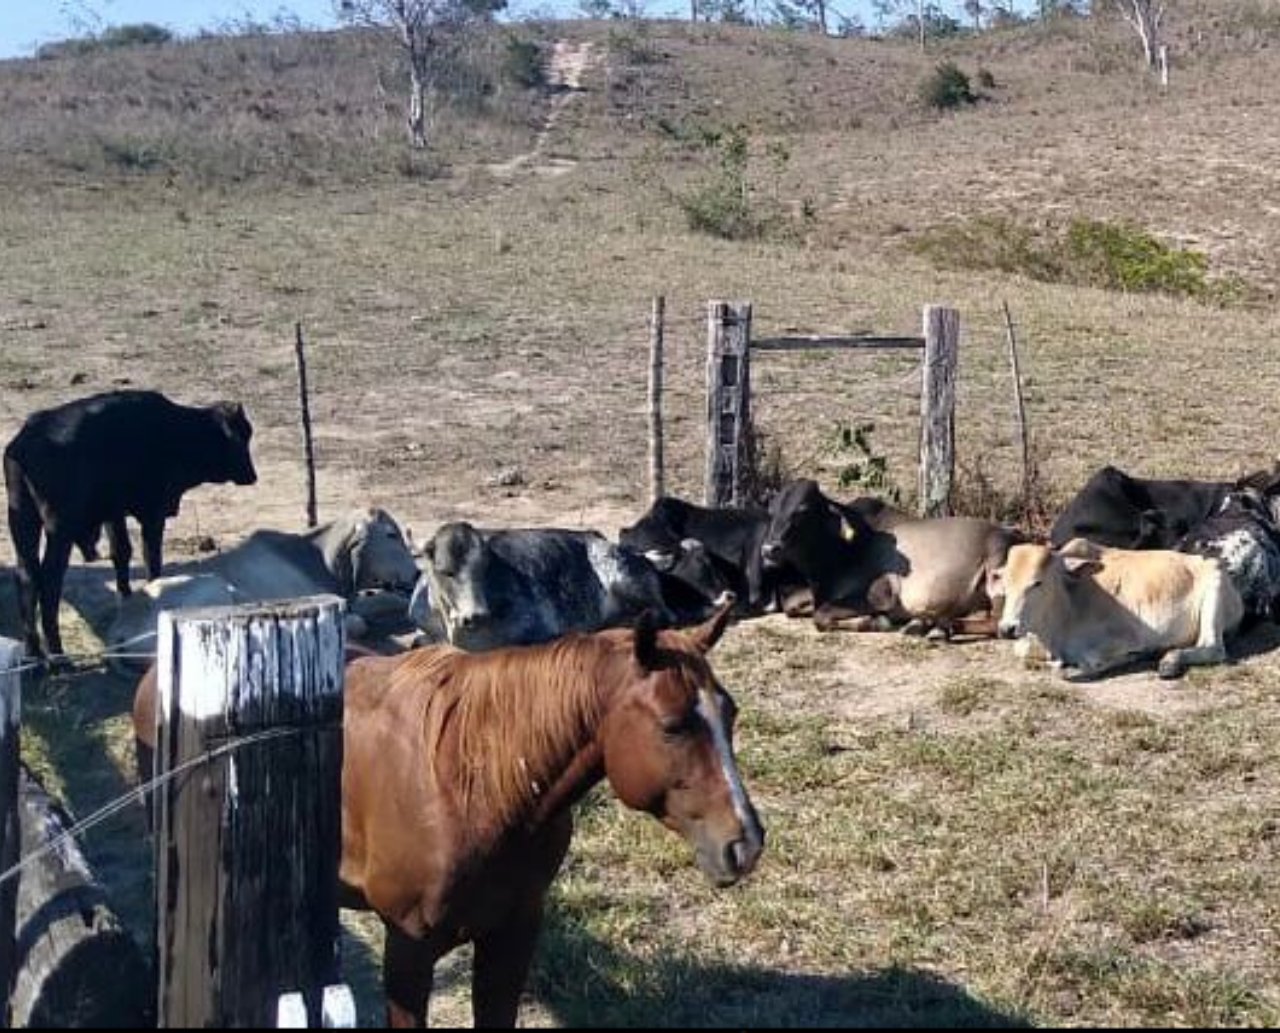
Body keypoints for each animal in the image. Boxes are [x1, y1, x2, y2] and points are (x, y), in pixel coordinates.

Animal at [3, 391, 258, 660]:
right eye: (241, 435)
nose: (252, 476)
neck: (179, 429)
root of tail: (24, 443)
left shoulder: (114, 512)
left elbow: (122, 553)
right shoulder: (153, 512)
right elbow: (152, 560)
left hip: (23, 519)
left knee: (26, 576)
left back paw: (33, 652)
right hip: (60, 528)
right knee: (50, 580)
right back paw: (58, 654)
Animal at [108, 506, 419, 670]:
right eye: (391, 534)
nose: (417, 573)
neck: (318, 557)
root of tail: (119, 628)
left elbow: (391, 599)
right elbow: (359, 621)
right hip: (218, 590)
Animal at [993, 537, 1244, 680]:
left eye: (1037, 583)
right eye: (1005, 581)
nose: (1007, 628)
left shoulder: (1127, 637)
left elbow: (1088, 662)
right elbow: (1022, 651)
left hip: (1214, 587)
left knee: (1213, 647)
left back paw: (1169, 661)